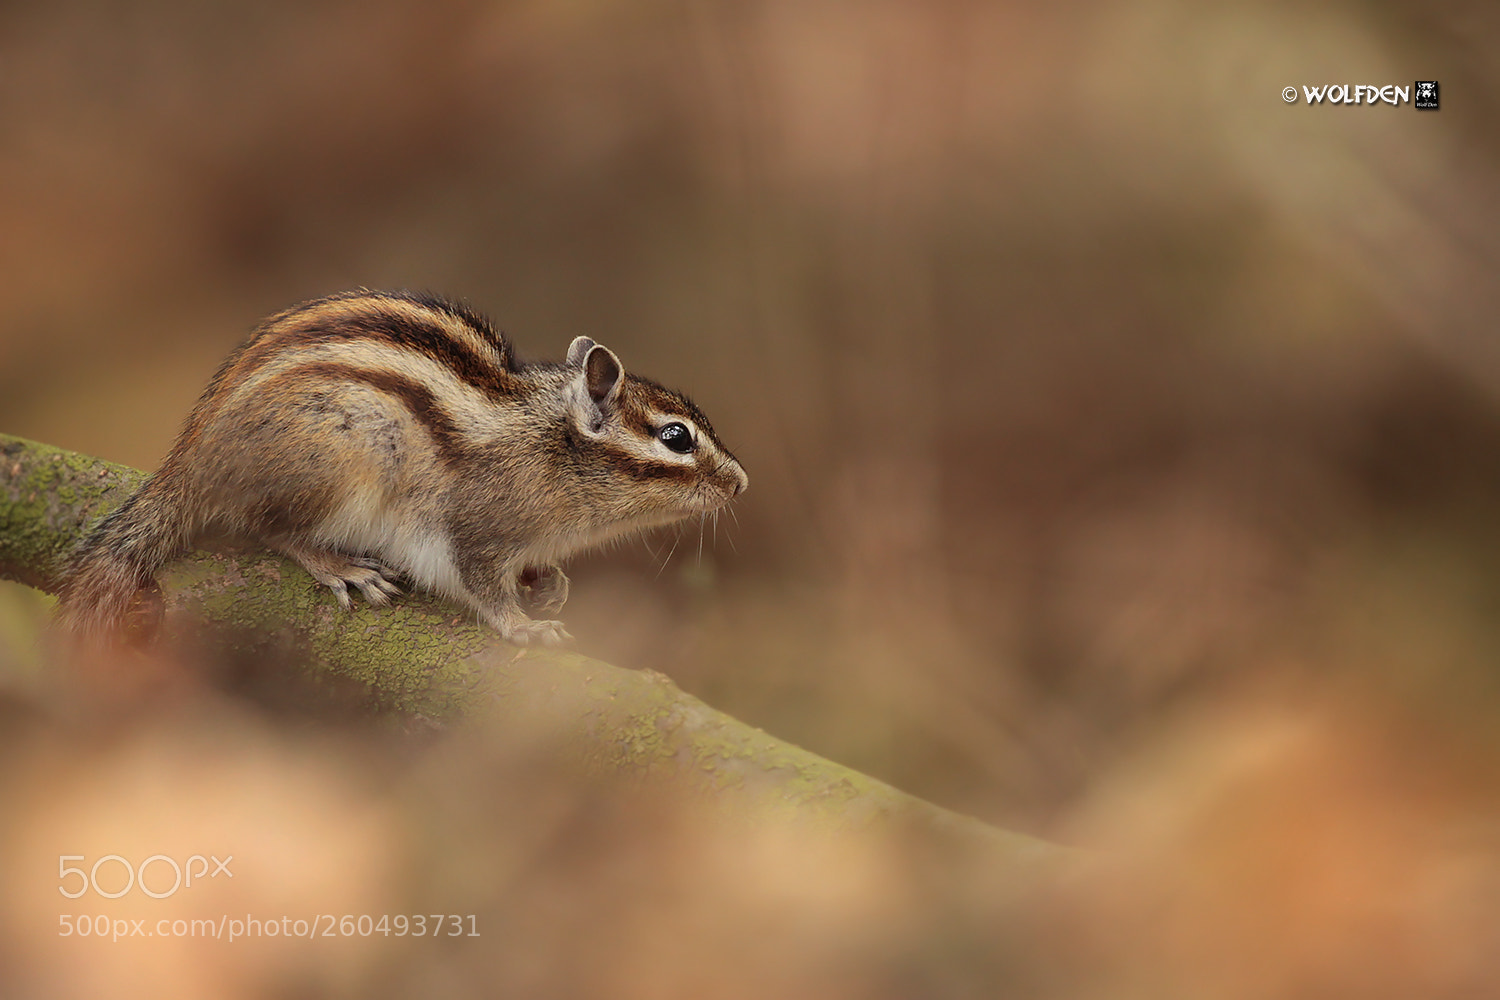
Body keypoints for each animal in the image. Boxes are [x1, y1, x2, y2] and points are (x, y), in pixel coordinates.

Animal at [57, 289, 748, 646]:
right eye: (676, 437)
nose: (741, 481)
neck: (550, 447)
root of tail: (191, 459)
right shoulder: (473, 529)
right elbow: (480, 583)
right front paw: (524, 627)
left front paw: (548, 583)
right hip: (336, 465)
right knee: (269, 527)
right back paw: (338, 565)